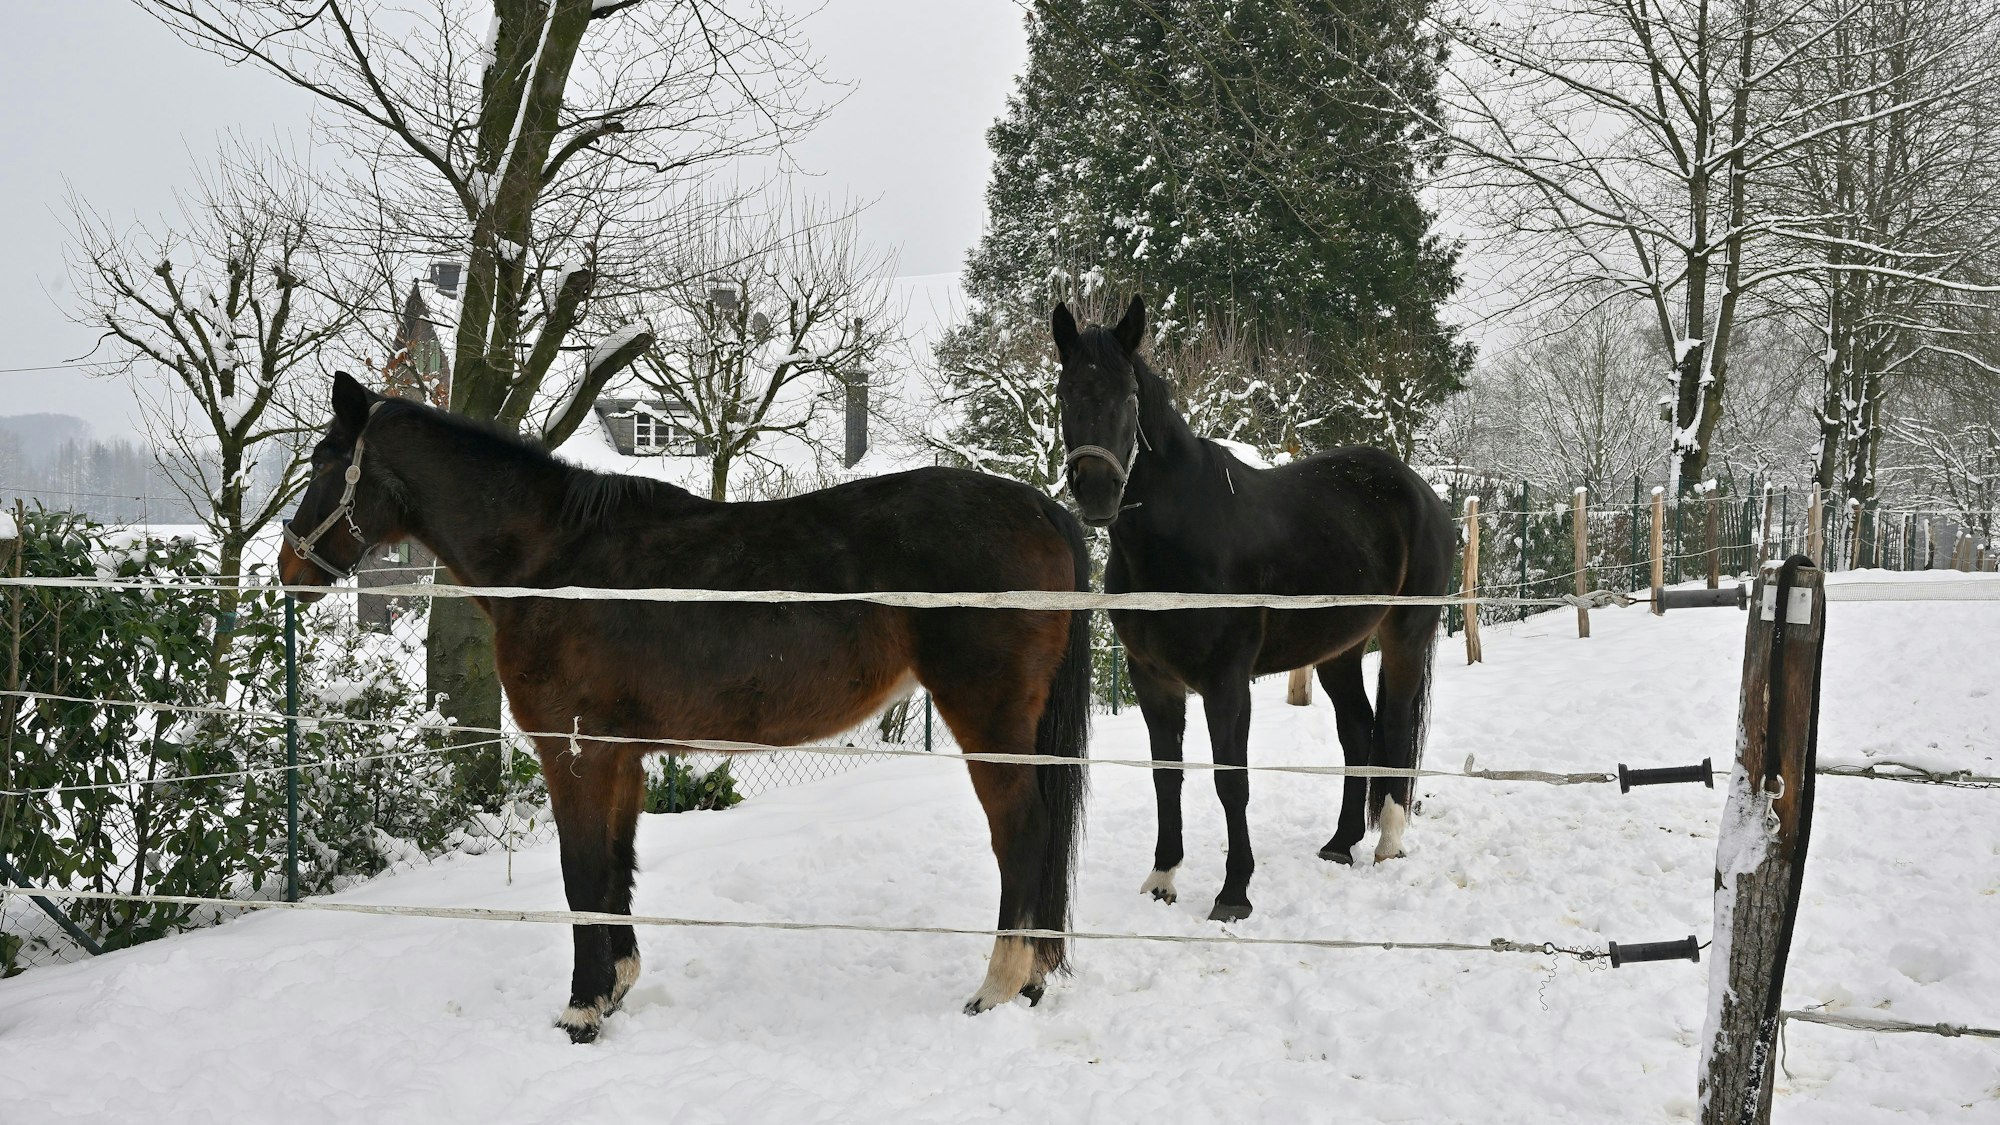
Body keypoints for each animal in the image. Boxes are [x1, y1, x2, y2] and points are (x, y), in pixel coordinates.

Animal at [279, 373, 1092, 1042]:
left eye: (322, 461)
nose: (288, 566)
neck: (553, 557)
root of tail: (1043, 508)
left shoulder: (573, 751)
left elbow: (582, 872)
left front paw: (581, 1010)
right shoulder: (621, 754)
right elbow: (614, 865)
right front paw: (614, 989)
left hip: (988, 720)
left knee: (1023, 834)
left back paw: (998, 987)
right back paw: (1031, 982)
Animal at [1052, 296, 1453, 922]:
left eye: (1128, 394)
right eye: (1066, 392)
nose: (1097, 492)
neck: (1179, 539)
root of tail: (1422, 492)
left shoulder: (1226, 682)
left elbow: (1230, 782)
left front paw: (1233, 892)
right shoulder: (1152, 679)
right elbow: (1167, 777)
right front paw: (1162, 877)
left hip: (1405, 634)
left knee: (1394, 726)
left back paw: (1387, 843)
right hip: (1337, 649)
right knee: (1357, 729)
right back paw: (1341, 843)